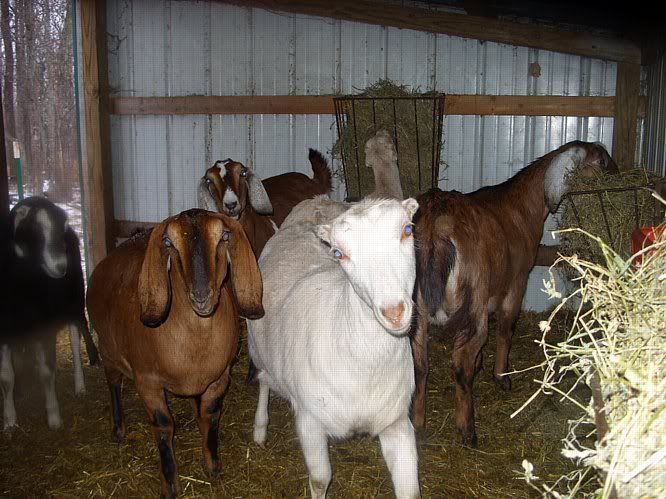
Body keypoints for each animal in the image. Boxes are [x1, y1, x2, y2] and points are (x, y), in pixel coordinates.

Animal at [0, 196, 99, 434]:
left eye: (59, 227)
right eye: (33, 229)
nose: (61, 266)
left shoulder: (44, 326)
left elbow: (46, 373)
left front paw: (54, 418)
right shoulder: (5, 330)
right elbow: (6, 377)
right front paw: (9, 421)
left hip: (74, 301)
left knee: (75, 341)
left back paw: (80, 386)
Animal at [86, 209, 263, 498]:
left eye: (224, 236)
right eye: (169, 243)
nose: (201, 296)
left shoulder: (220, 377)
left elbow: (211, 413)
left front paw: (212, 465)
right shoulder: (147, 382)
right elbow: (163, 424)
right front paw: (170, 483)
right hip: (108, 350)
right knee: (113, 382)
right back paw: (118, 428)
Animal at [248, 196, 421, 499]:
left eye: (408, 230)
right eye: (339, 254)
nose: (394, 312)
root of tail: (317, 202)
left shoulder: (396, 423)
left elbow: (410, 491)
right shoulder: (309, 421)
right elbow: (320, 480)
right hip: (257, 349)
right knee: (264, 380)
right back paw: (260, 428)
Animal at [410, 140, 619, 447]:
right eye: (602, 160)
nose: (618, 176)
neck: (521, 206)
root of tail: (436, 223)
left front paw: (482, 365)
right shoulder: (517, 281)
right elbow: (506, 328)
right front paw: (502, 377)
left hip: (417, 309)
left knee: (420, 364)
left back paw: (417, 424)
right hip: (472, 298)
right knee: (460, 365)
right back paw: (468, 430)